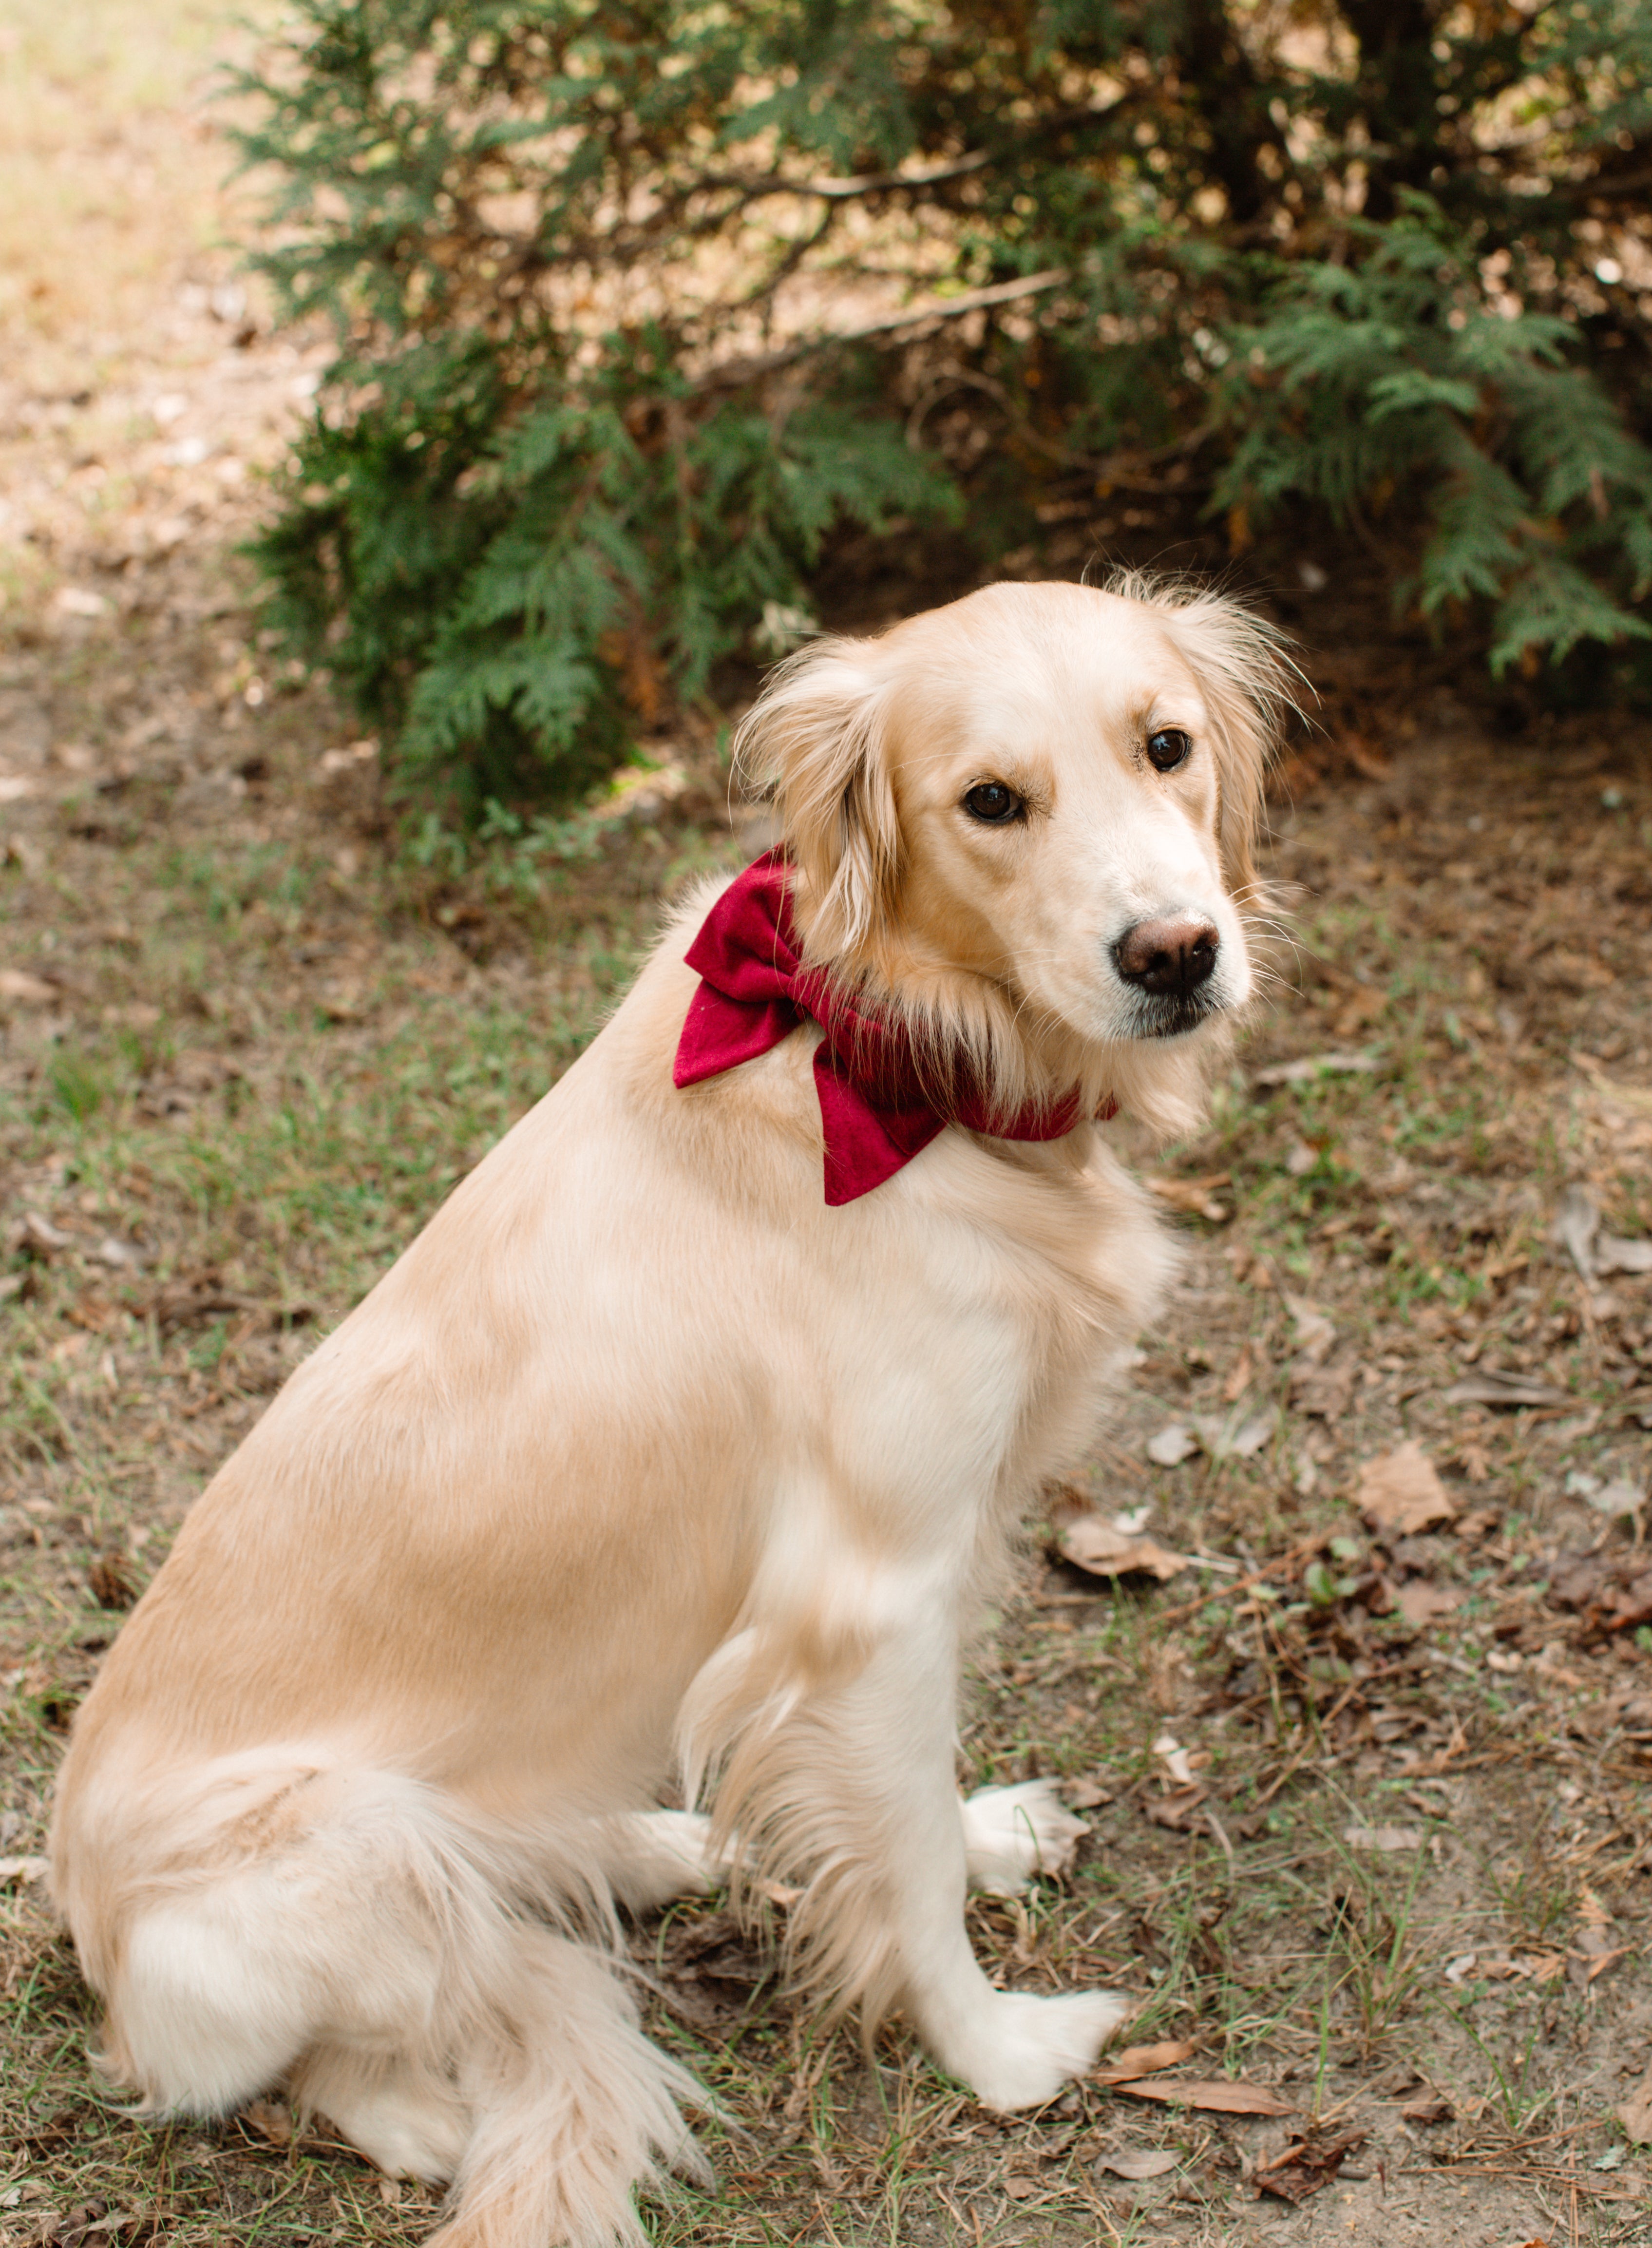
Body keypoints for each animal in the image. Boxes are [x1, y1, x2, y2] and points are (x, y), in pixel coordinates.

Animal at [48, 575, 1294, 2248]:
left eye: (1163, 745)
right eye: (989, 802)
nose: (1173, 951)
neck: (886, 1051)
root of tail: (87, 1936)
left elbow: (916, 1794)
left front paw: (985, 1836)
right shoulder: (871, 1590)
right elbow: (901, 1865)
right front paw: (996, 2051)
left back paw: (658, 1844)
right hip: (344, 1844)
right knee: (310, 2051)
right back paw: (427, 2112)